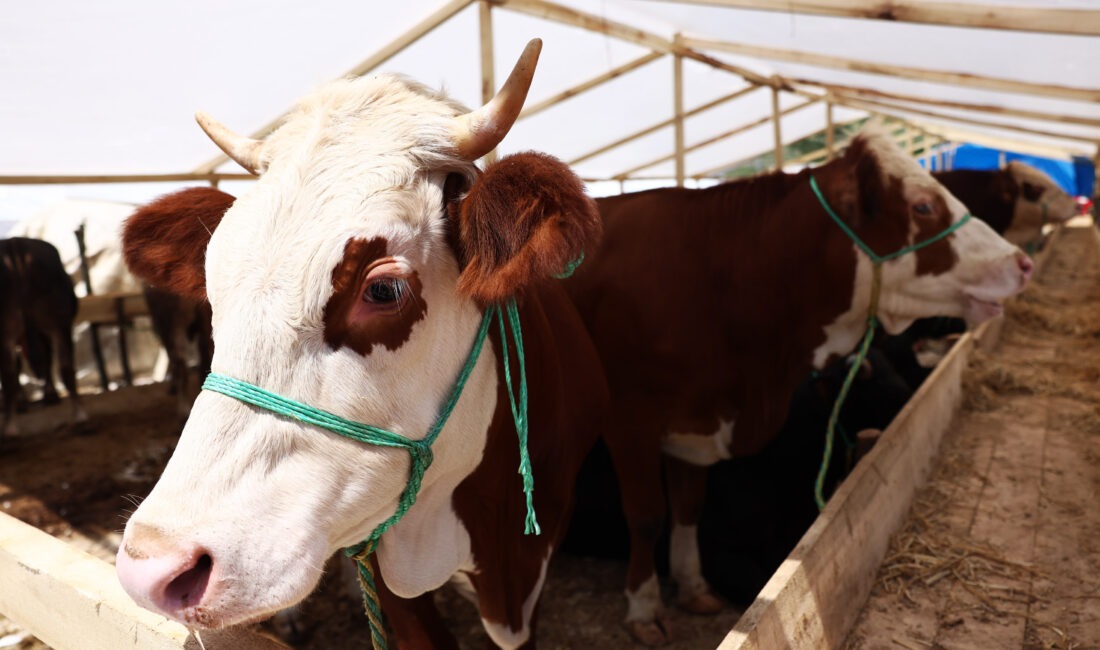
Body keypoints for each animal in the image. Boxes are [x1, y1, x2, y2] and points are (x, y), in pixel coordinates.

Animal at [0, 235, 88, 437]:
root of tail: (14, 243)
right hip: (58, 323)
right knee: (64, 367)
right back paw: (80, 416)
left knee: (9, 374)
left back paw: (10, 427)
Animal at [563, 125, 1034, 646]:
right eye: (924, 206)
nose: (1022, 263)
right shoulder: (630, 421)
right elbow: (648, 517)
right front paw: (644, 608)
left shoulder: (694, 424)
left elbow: (688, 507)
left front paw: (693, 587)